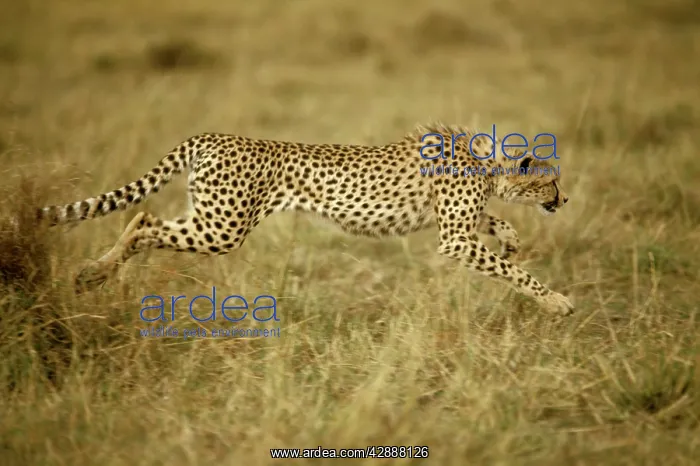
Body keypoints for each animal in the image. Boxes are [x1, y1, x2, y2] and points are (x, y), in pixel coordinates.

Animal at [36, 123, 574, 315]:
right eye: (551, 181)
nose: (564, 199)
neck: (489, 163)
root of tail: (214, 135)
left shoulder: (453, 225)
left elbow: (495, 227)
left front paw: (510, 238)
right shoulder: (454, 239)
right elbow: (513, 270)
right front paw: (556, 302)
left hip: (210, 217)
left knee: (144, 216)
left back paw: (95, 275)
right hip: (221, 227)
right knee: (144, 221)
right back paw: (93, 274)